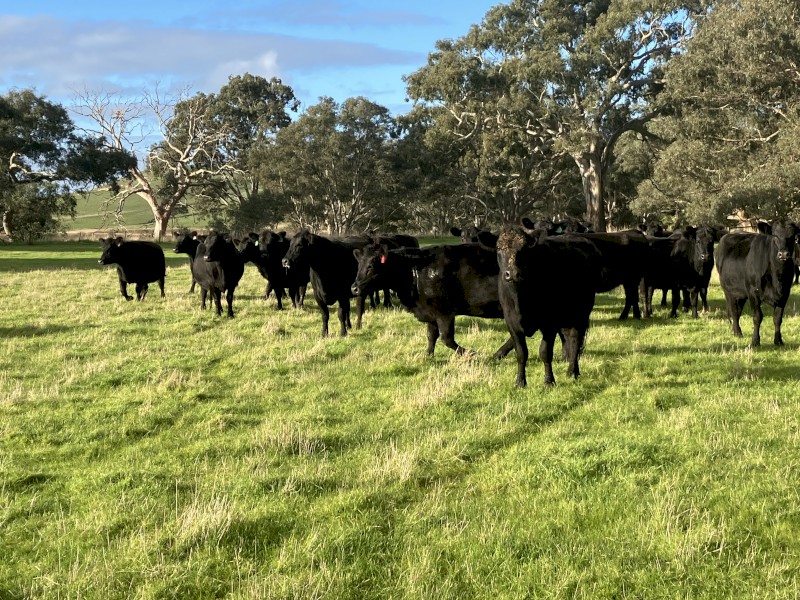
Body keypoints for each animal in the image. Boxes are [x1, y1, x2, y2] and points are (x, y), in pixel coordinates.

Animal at [350, 242, 515, 358]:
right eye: (359, 265)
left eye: (371, 266)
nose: (354, 288)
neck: (414, 270)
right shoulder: (430, 312)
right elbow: (431, 335)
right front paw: (428, 355)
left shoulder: (444, 312)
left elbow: (446, 338)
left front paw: (470, 353)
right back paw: (499, 354)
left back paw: (498, 354)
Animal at [486, 226, 599, 387]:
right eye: (499, 248)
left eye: (525, 249)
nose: (512, 273)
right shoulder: (511, 322)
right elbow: (521, 353)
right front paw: (520, 382)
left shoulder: (549, 323)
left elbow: (545, 352)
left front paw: (549, 381)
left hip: (581, 313)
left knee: (575, 340)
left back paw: (573, 371)